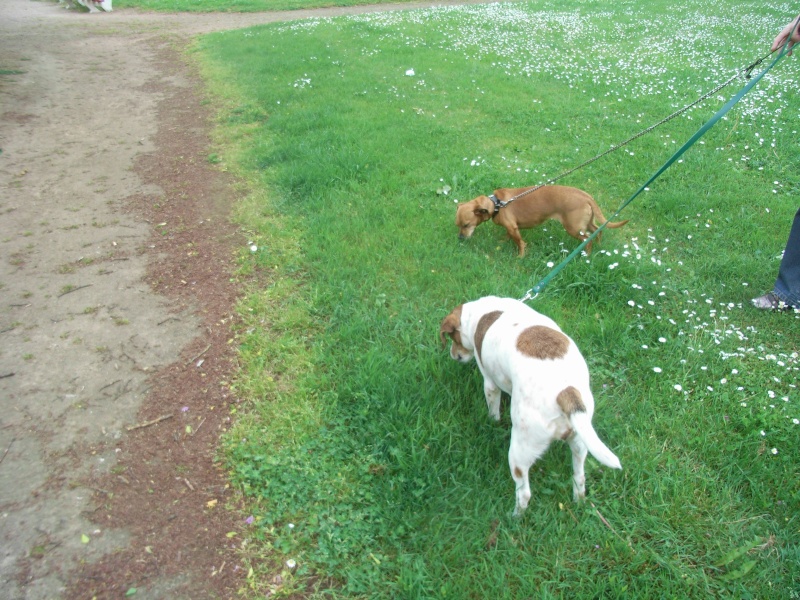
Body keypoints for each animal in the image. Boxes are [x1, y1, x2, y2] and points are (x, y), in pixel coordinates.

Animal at [440, 296, 620, 516]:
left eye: (454, 339)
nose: (453, 355)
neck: (485, 312)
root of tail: (566, 392)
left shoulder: (490, 383)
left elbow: (493, 408)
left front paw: (492, 421)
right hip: (580, 442)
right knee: (579, 477)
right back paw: (579, 501)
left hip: (520, 451)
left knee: (524, 493)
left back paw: (514, 517)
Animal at [454, 184, 628, 256]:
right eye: (458, 225)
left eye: (466, 225)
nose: (460, 238)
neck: (497, 204)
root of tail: (586, 196)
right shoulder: (511, 228)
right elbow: (508, 237)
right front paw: (502, 242)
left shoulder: (512, 228)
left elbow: (520, 243)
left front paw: (520, 257)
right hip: (586, 223)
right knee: (597, 231)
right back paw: (599, 246)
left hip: (573, 228)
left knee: (587, 240)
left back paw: (586, 256)